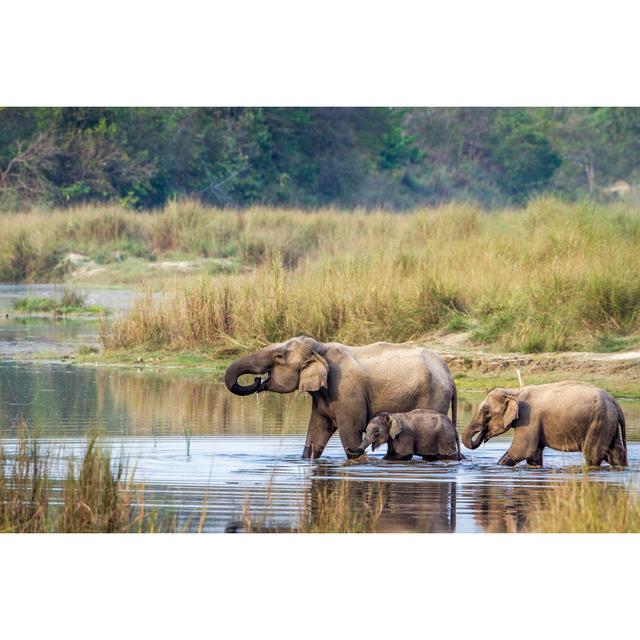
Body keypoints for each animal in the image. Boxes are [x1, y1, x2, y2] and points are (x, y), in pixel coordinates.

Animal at [225, 336, 456, 460]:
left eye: (279, 357)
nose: (257, 380)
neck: (322, 349)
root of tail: (449, 375)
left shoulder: (346, 392)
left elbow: (350, 432)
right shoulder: (323, 395)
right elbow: (316, 432)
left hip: (433, 395)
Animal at [462, 380, 628, 464]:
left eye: (486, 412)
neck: (514, 392)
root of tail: (616, 403)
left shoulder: (529, 419)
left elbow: (520, 452)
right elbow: (533, 456)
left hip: (599, 422)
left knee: (592, 455)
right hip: (608, 423)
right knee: (615, 453)